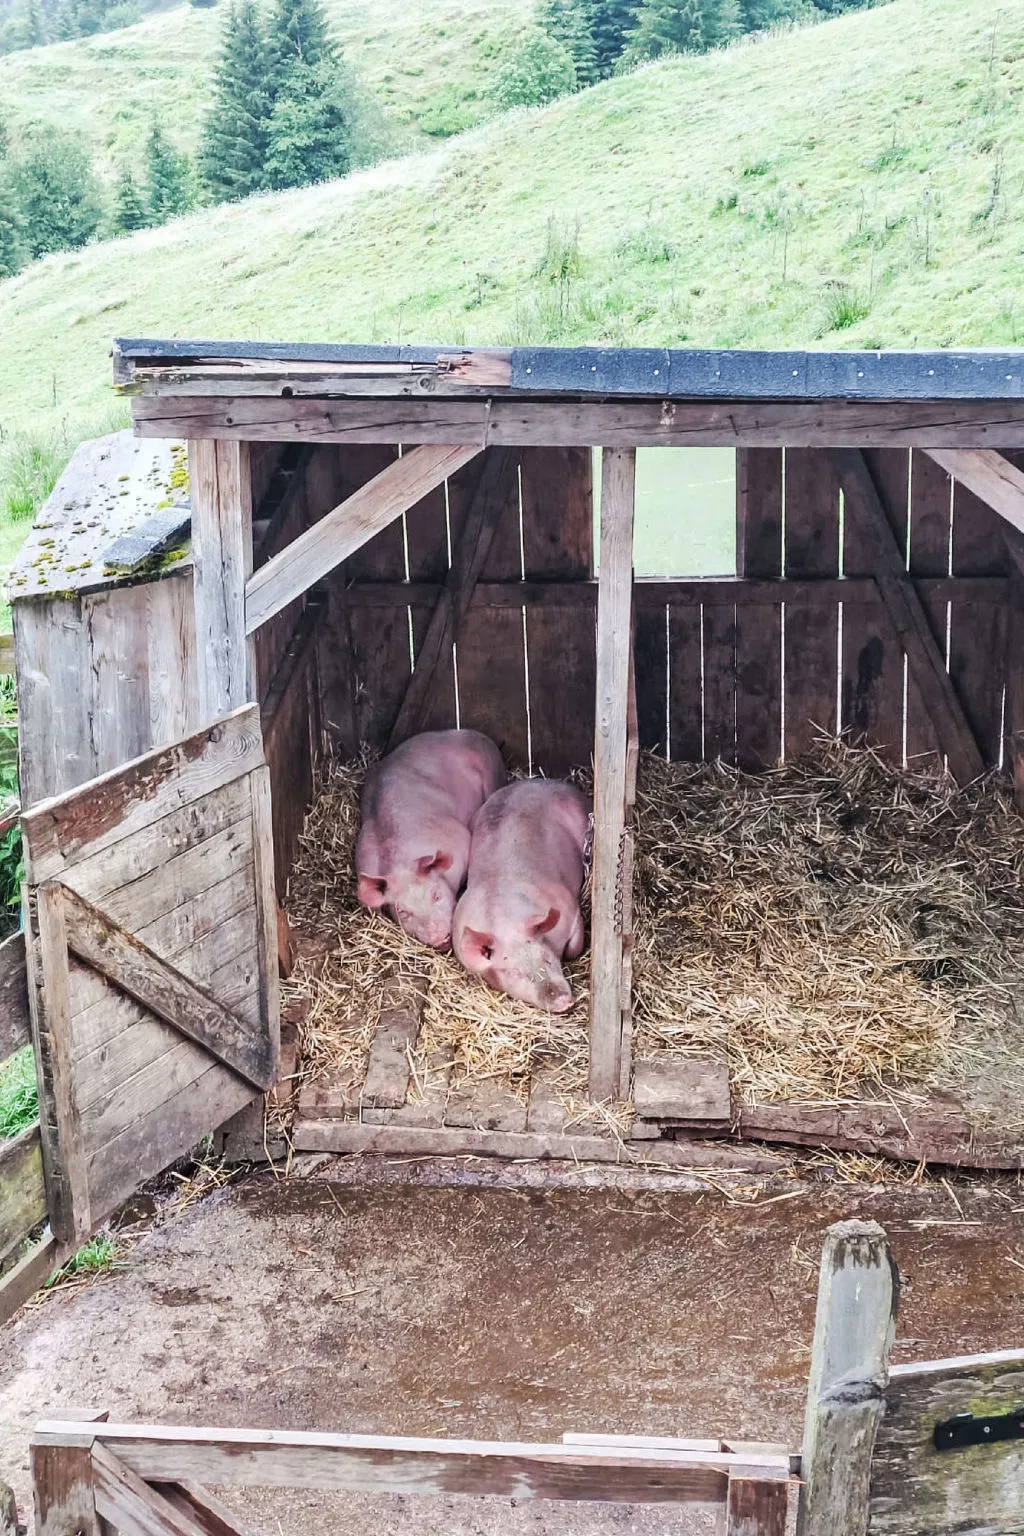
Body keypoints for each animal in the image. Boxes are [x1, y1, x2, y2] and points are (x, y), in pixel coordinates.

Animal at [451, 780, 589, 1019]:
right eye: (515, 973)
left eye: (547, 958)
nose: (562, 1001)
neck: (505, 922)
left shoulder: (569, 907)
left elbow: (574, 947)